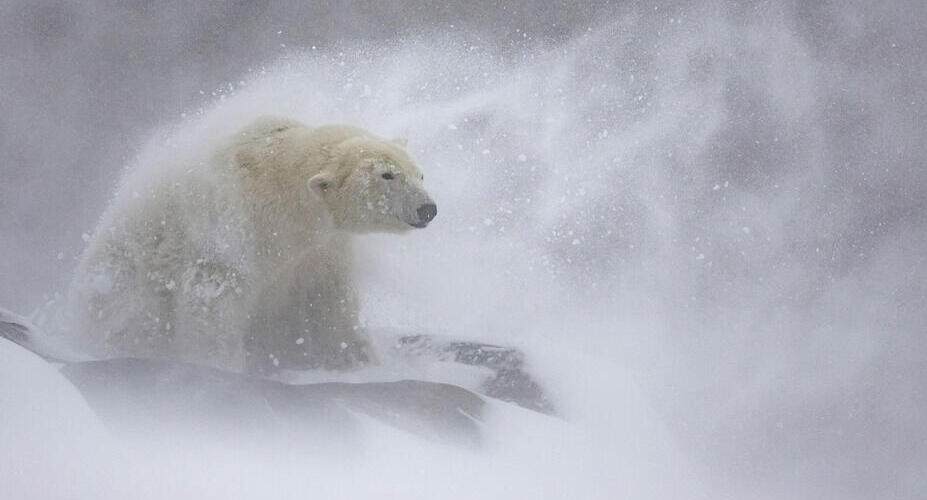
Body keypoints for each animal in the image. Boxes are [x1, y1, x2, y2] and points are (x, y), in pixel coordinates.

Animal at [65, 117, 436, 374]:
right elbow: (212, 300)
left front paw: (358, 357)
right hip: (122, 278)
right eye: (387, 175)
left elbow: (330, 301)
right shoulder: (232, 231)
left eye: (419, 174)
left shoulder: (321, 249)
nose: (427, 208)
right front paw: (220, 365)